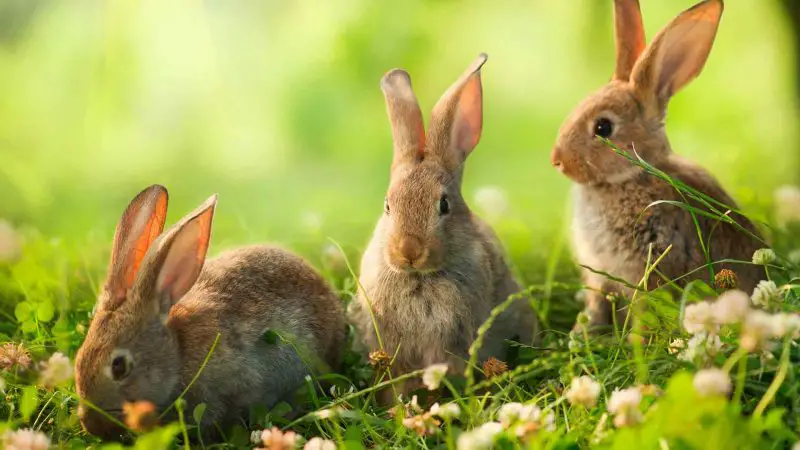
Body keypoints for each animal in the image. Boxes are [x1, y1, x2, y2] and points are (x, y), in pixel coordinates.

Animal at [550, 0, 766, 330]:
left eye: (603, 127)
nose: (557, 160)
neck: (632, 176)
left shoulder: (653, 263)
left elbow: (645, 307)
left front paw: (636, 336)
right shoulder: (600, 276)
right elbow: (597, 304)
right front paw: (584, 331)